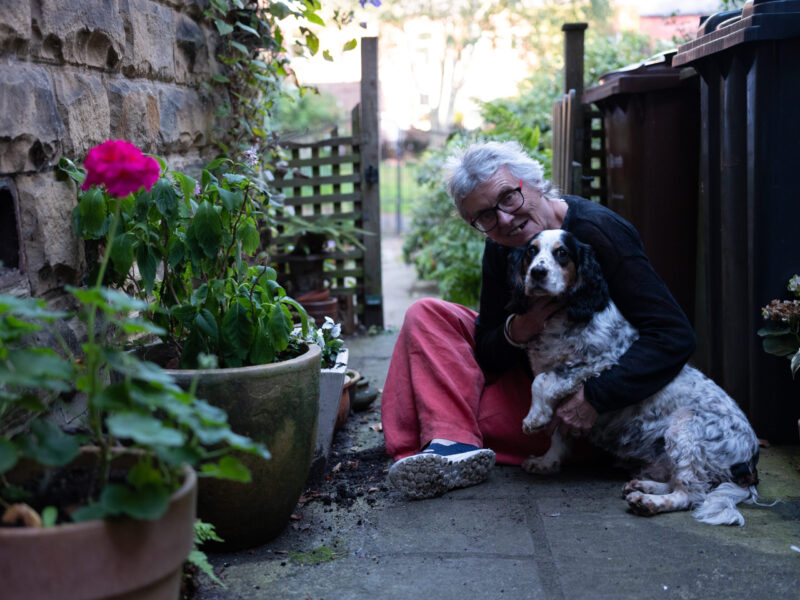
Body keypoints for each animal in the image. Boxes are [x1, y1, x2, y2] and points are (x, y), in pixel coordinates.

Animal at [510, 230, 760, 524]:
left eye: (562, 253)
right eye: (531, 251)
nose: (537, 273)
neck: (563, 317)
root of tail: (750, 459)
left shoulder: (599, 362)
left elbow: (542, 383)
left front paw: (533, 419)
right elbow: (559, 432)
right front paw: (546, 462)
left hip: (685, 431)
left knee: (690, 493)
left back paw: (648, 501)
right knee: (680, 482)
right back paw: (643, 485)